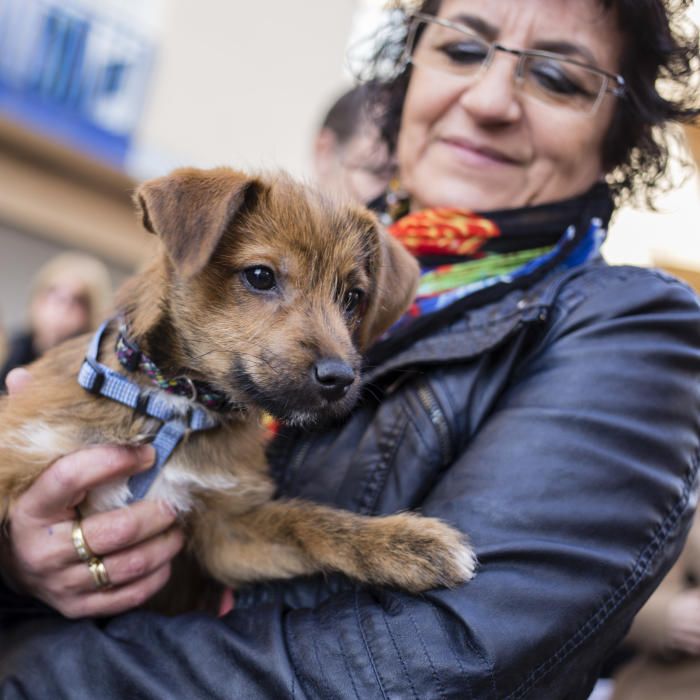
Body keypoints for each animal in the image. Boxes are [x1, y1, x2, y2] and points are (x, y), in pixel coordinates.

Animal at [0, 167, 476, 608]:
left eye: (353, 297)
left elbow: (306, 520)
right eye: (260, 276)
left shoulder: (225, 534)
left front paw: (407, 543)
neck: (174, 404)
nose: (340, 378)